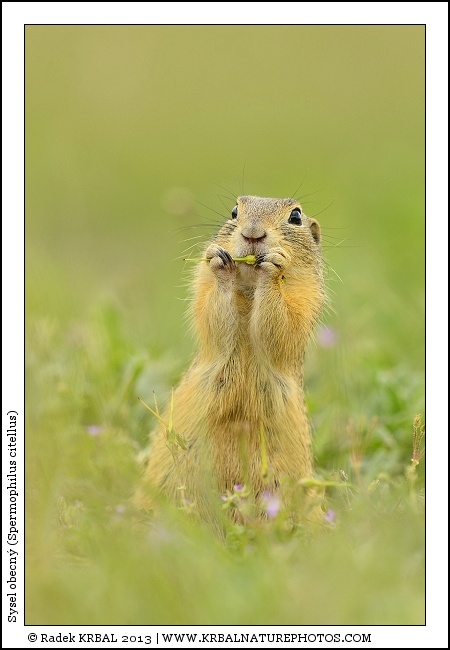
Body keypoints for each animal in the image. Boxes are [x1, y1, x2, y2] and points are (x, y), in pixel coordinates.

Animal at [136, 195, 325, 526]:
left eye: (296, 216)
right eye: (235, 211)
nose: (252, 233)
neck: (249, 289)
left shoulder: (306, 298)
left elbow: (284, 326)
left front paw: (274, 267)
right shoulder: (203, 287)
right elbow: (212, 312)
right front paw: (220, 262)